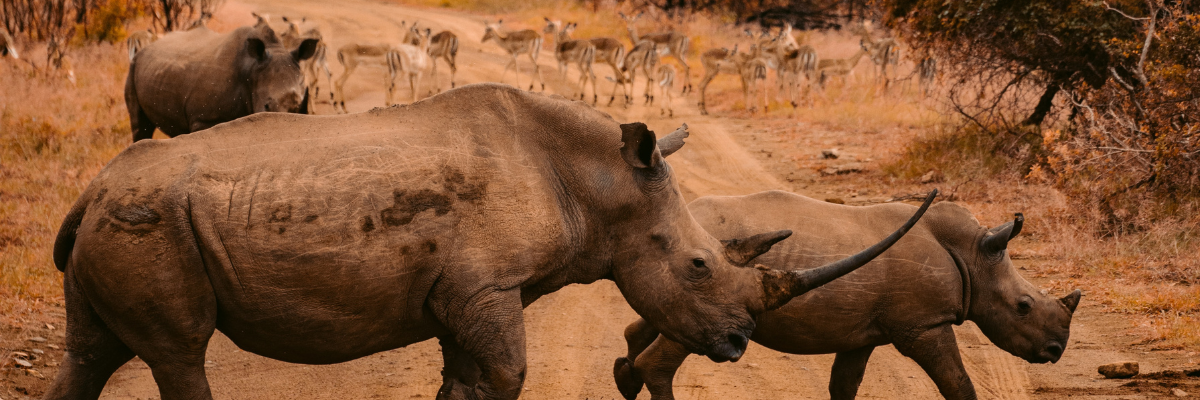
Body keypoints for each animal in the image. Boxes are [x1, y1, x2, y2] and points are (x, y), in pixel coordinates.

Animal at [44, 84, 933, 400]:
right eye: (698, 264)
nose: (739, 343)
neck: (599, 183)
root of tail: (88, 190)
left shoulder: (461, 293)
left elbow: (466, 380)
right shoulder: (485, 288)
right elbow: (506, 376)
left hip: (125, 220)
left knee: (90, 355)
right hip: (151, 223)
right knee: (179, 353)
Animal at [125, 22, 318, 142]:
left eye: (299, 107)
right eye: (267, 106)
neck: (251, 71)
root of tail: (147, 47)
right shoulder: (204, 119)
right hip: (133, 67)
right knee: (140, 126)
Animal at [614, 190, 1081, 400]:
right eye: (1023, 307)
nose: (1055, 351)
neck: (973, 255)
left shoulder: (862, 331)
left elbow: (844, 385)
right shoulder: (923, 325)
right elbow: (958, 382)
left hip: (687, 269)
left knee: (654, 319)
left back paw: (626, 379)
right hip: (706, 280)